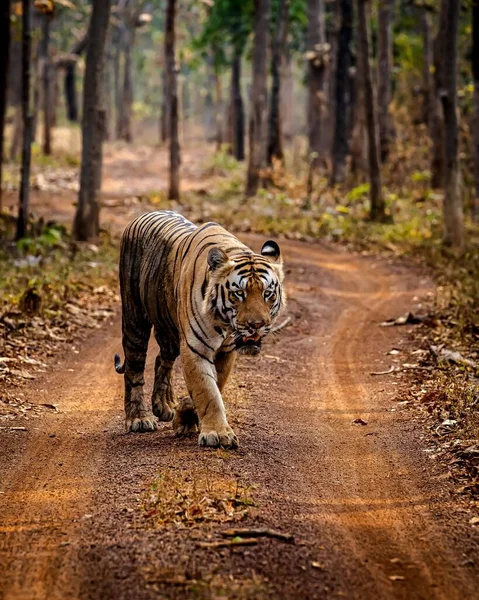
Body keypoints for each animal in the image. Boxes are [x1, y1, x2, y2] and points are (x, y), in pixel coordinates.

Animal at [113, 211, 284, 450]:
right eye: (239, 293)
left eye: (268, 293)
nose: (256, 325)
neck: (224, 324)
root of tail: (141, 216)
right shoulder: (196, 348)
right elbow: (207, 391)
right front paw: (218, 434)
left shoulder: (226, 352)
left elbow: (214, 386)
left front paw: (183, 417)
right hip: (134, 318)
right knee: (134, 369)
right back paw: (139, 418)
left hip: (169, 331)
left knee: (162, 361)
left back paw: (164, 406)